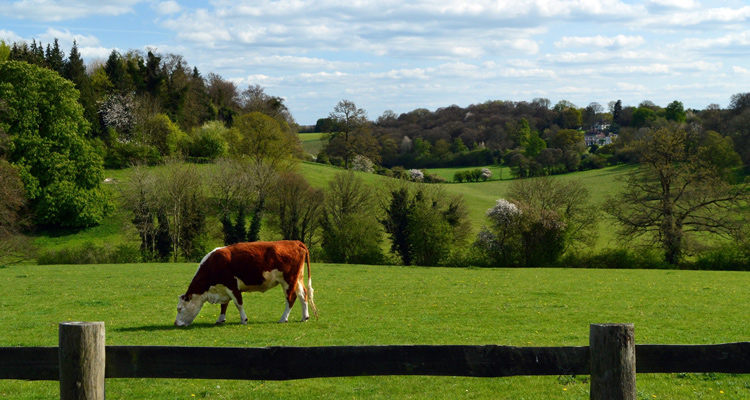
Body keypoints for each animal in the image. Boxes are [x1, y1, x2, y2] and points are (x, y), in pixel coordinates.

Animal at [175, 239, 318, 326]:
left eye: (179, 309)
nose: (176, 324)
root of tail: (295, 242)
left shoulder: (232, 286)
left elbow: (238, 303)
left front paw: (244, 319)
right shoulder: (223, 288)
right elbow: (224, 305)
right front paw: (220, 319)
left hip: (288, 280)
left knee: (291, 298)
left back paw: (283, 318)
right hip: (297, 278)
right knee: (303, 295)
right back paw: (305, 317)